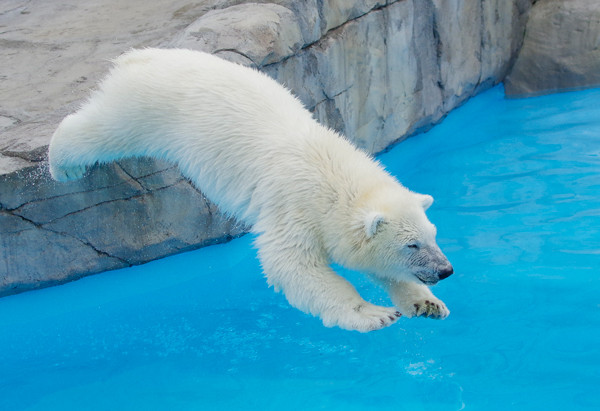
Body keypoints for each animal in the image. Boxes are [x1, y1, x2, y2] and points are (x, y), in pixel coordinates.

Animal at [49, 48, 452, 334]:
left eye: (433, 235)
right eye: (411, 244)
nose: (446, 270)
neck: (331, 174)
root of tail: (140, 56)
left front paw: (428, 305)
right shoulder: (295, 206)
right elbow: (292, 266)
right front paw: (375, 314)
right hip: (150, 107)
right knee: (104, 129)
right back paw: (62, 164)